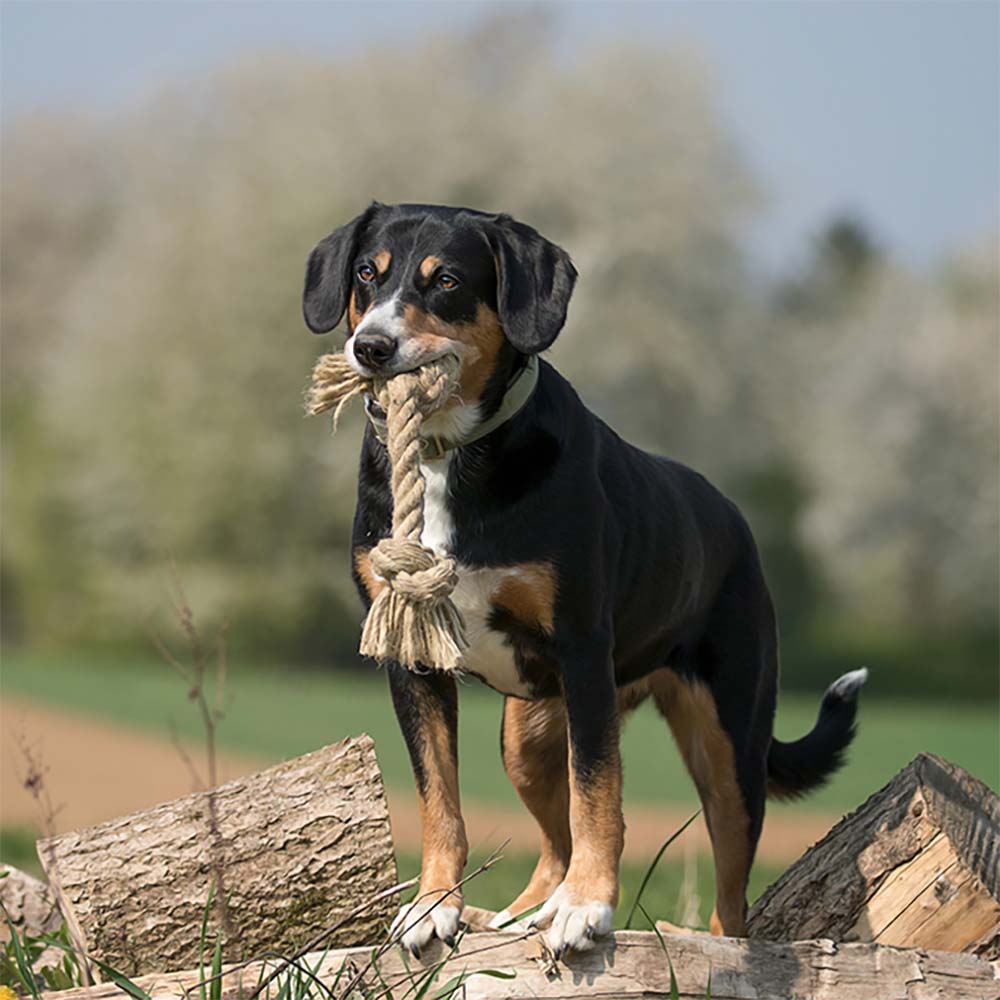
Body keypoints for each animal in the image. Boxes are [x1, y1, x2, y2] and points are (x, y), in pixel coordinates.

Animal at [300, 203, 864, 960]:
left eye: (446, 281)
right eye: (367, 272)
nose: (371, 347)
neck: (451, 455)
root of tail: (733, 520)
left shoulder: (582, 651)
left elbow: (598, 795)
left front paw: (588, 909)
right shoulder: (413, 660)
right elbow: (438, 797)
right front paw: (434, 907)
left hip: (729, 744)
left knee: (730, 898)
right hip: (528, 739)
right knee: (553, 845)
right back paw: (516, 916)